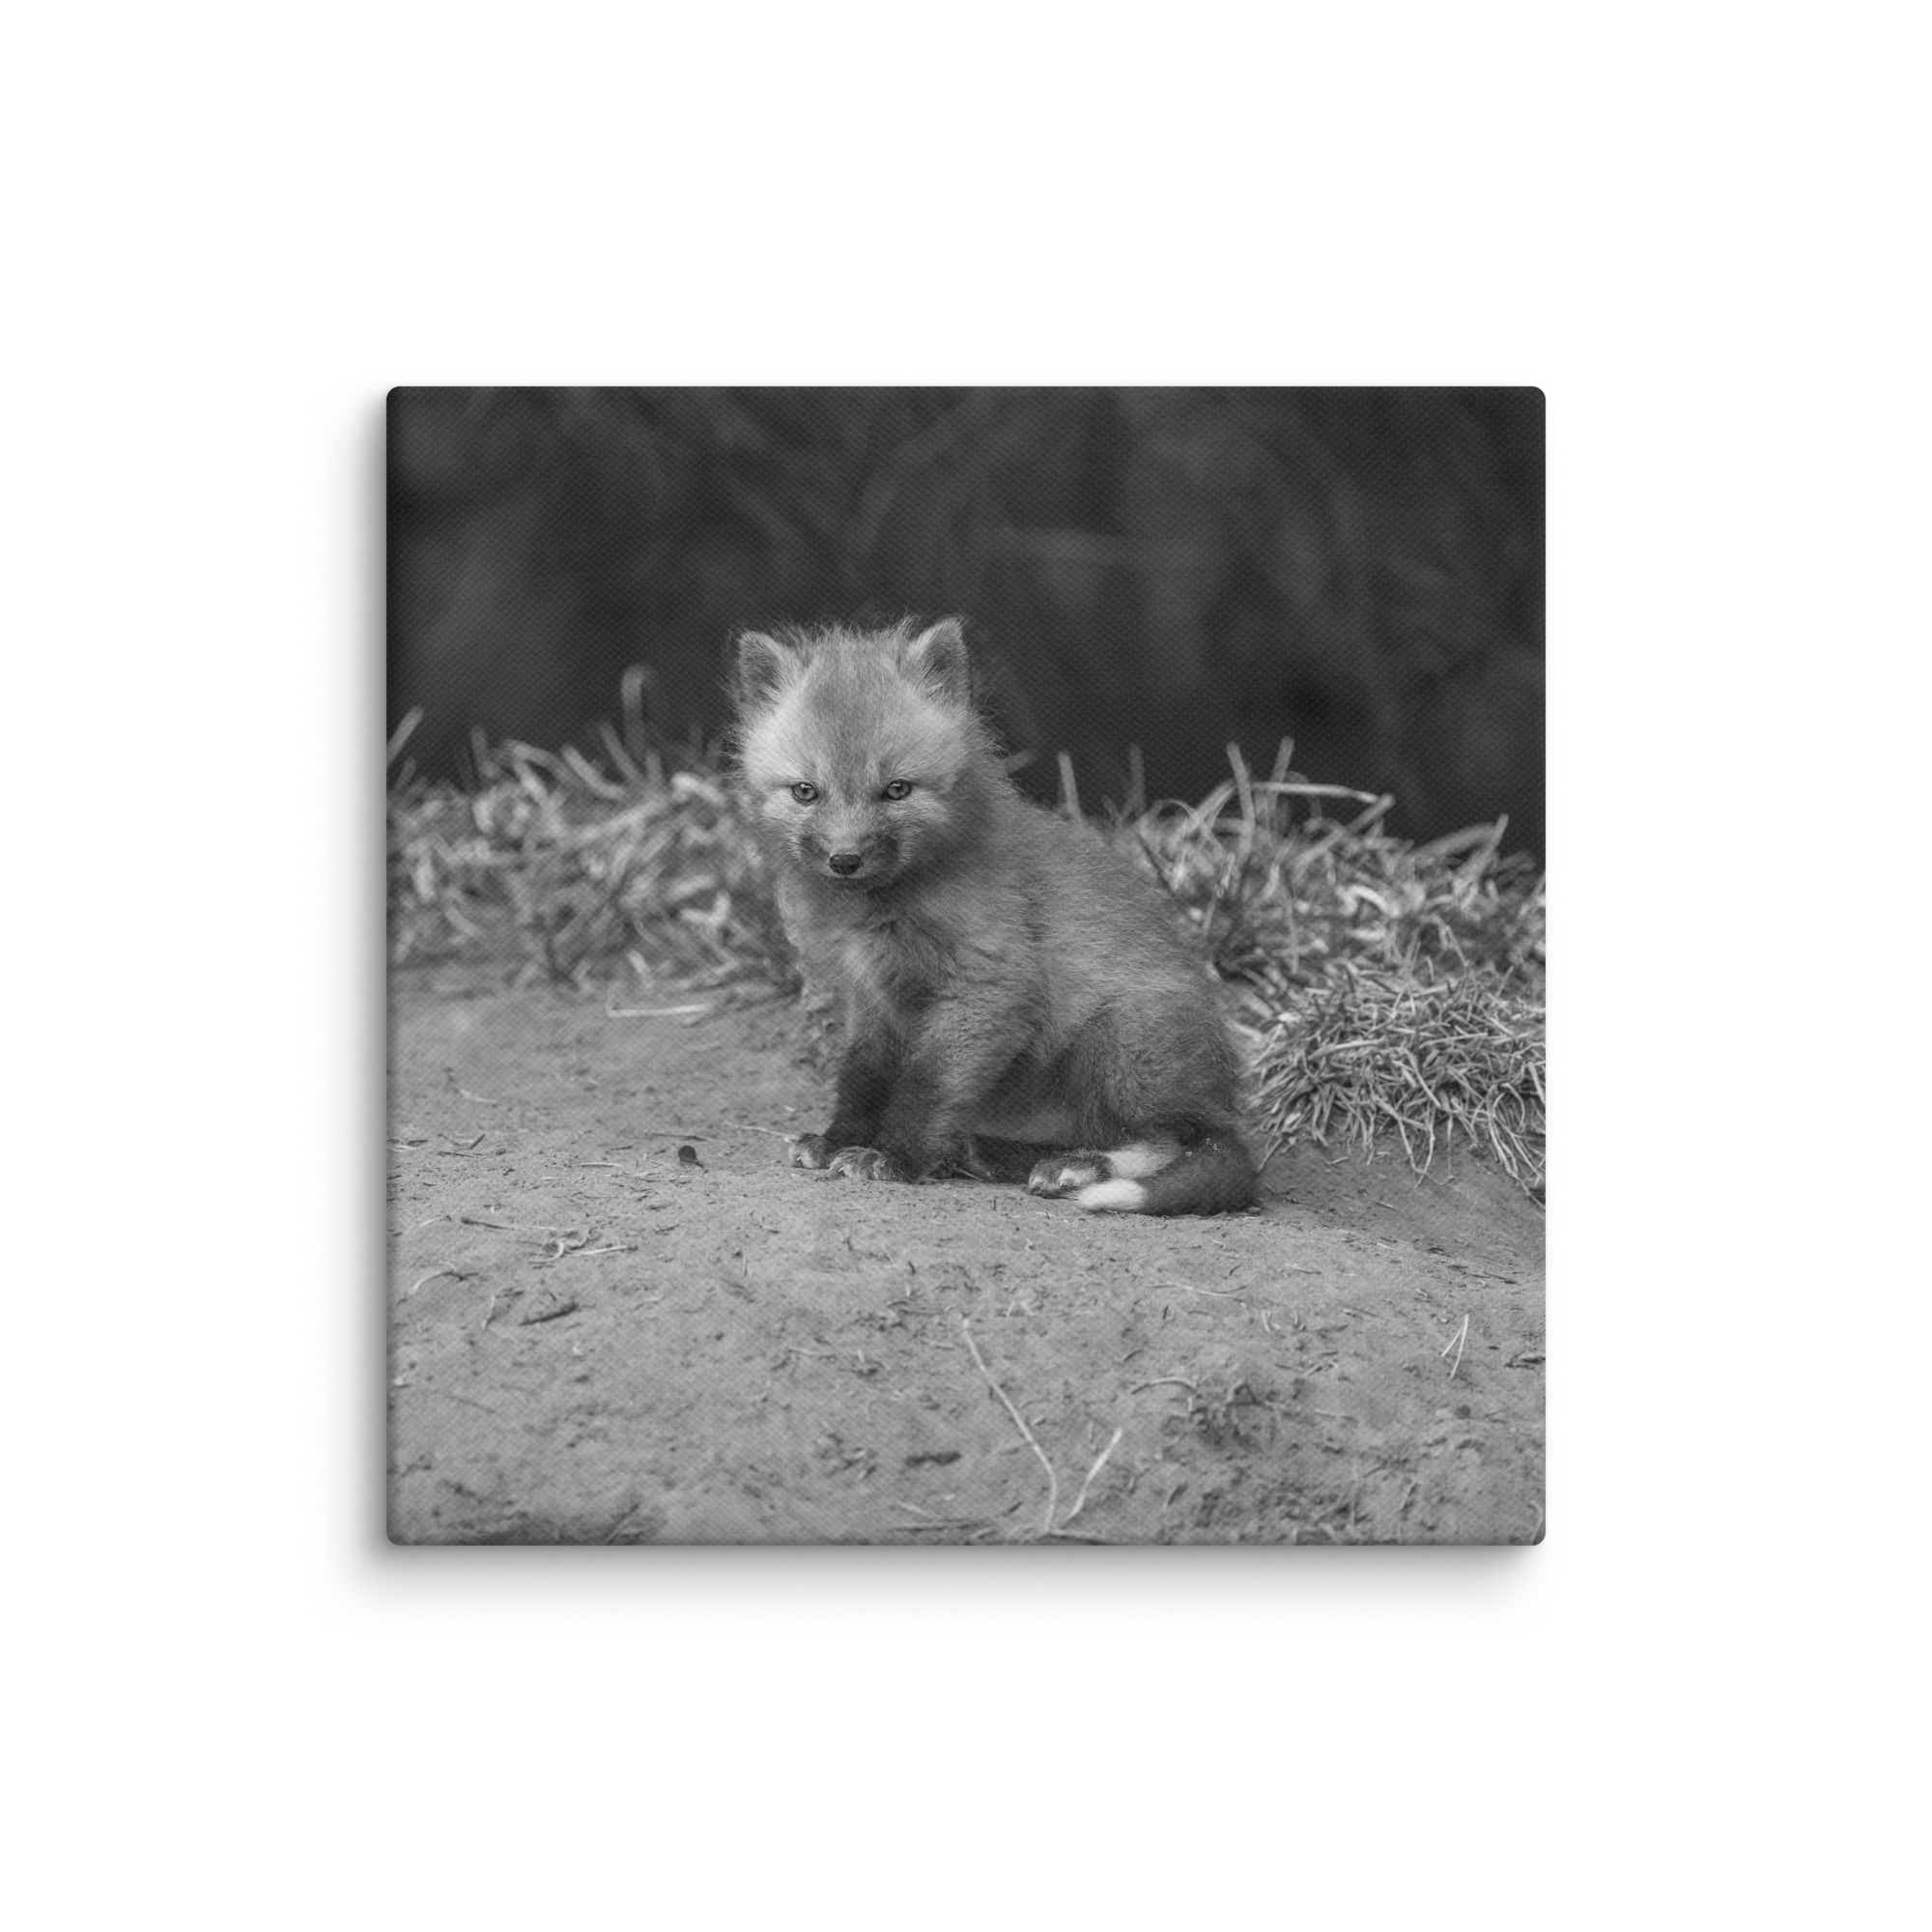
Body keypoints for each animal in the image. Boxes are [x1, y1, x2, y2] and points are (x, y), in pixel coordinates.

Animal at [732, 615, 1259, 1216]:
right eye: (805, 792)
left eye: (896, 790)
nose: (845, 860)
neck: (884, 912)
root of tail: (1220, 1093)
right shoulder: (873, 999)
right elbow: (863, 1077)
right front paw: (840, 1139)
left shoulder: (987, 987)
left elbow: (927, 1085)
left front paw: (895, 1157)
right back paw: (989, 1153)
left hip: (1122, 1041)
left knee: (1182, 1140)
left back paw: (1077, 1168)